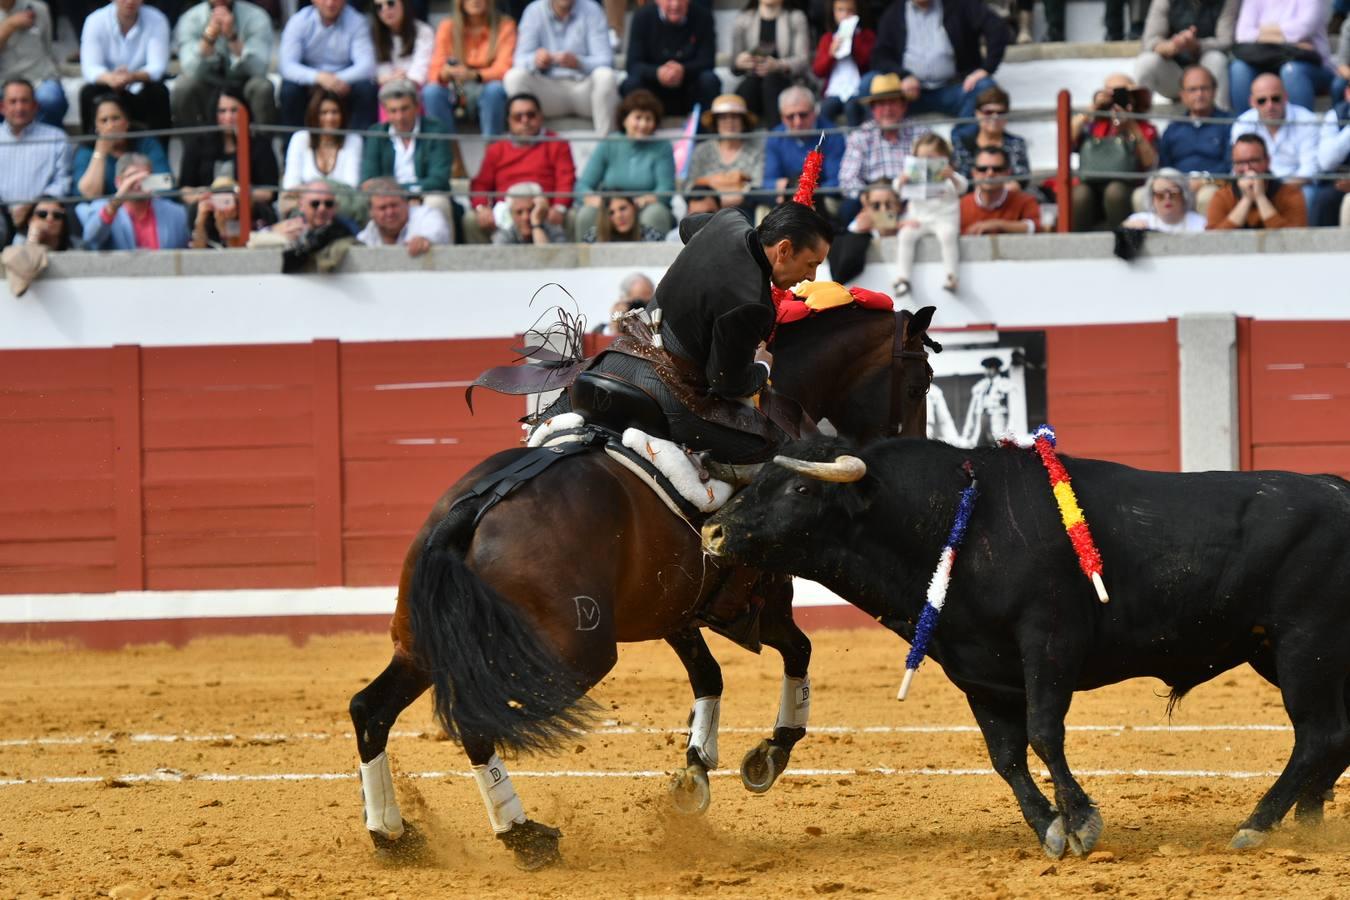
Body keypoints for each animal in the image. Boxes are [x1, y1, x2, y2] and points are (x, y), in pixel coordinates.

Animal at [348, 304, 934, 874]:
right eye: (918, 384)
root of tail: (473, 512)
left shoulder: (675, 610)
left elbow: (710, 675)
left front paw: (696, 771)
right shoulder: (763, 602)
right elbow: (799, 651)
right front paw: (770, 752)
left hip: (426, 645)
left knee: (369, 710)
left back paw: (394, 836)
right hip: (571, 658)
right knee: (474, 724)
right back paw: (524, 835)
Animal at [702, 437, 1350, 858]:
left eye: (799, 486)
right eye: (756, 482)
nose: (713, 531)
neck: (953, 523)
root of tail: (1339, 490)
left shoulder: (1049, 640)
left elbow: (1043, 732)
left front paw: (1082, 822)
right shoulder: (976, 671)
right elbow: (1006, 755)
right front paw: (1049, 829)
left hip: (1305, 645)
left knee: (1317, 735)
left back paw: (1258, 824)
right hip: (1282, 652)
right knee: (1334, 734)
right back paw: (1309, 818)